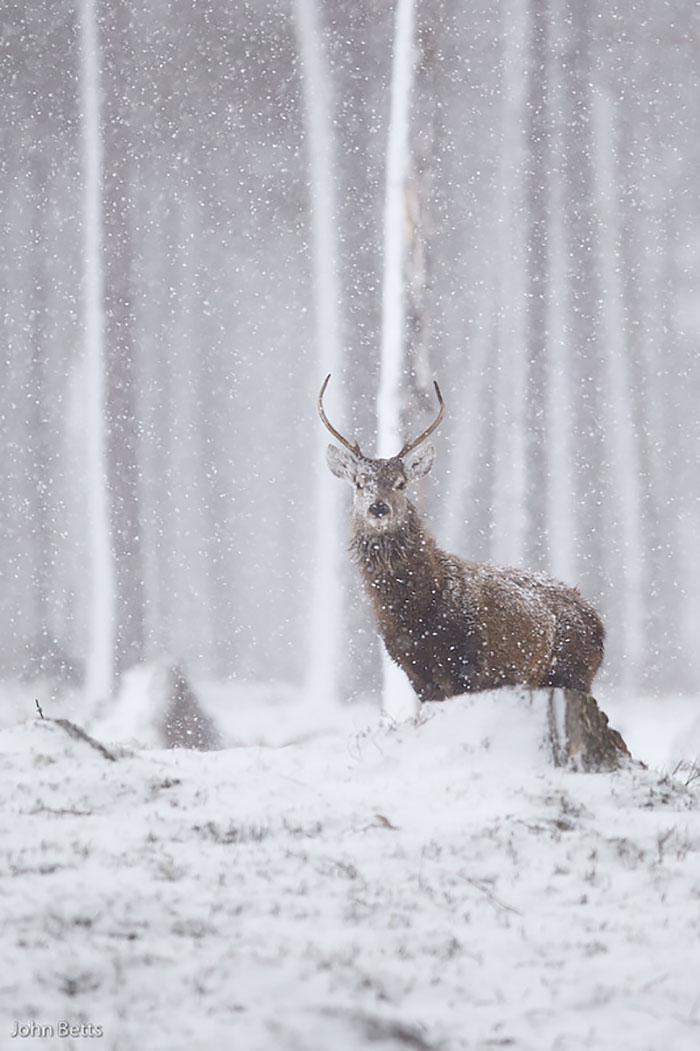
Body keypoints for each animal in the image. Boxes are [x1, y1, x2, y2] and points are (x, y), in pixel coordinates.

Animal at [318, 376, 605, 702]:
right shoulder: (414, 672)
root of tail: (598, 622)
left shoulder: (470, 663)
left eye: (401, 483)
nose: (378, 508)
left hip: (575, 672)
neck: (417, 618)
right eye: (359, 483)